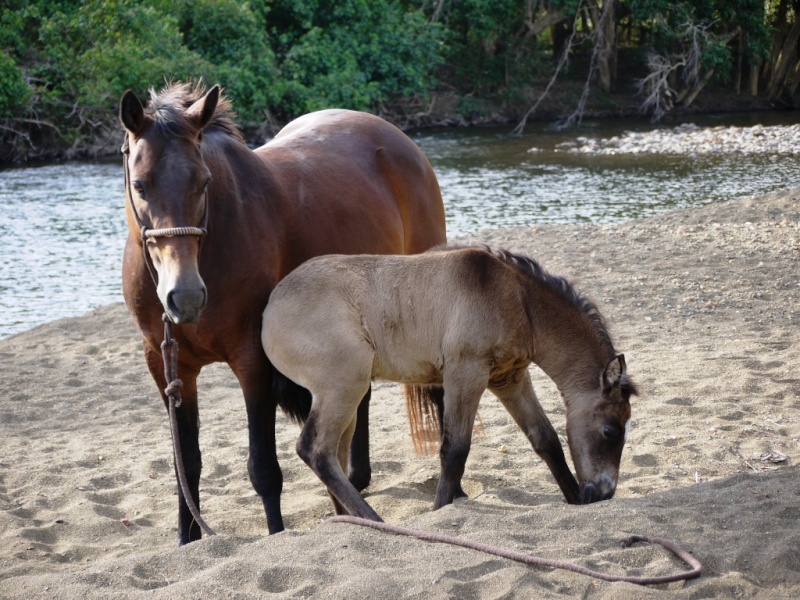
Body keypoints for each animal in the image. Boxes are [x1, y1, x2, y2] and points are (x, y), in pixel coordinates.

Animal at [119, 81, 446, 544]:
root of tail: (397, 138)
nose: (185, 296)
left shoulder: (251, 360)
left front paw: (275, 534)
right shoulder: (168, 367)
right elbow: (187, 465)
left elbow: (263, 468)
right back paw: (355, 481)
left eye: (204, 182)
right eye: (141, 184)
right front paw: (188, 540)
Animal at [262, 244, 636, 520]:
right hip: (345, 385)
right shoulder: (465, 373)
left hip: (347, 396)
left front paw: (573, 499)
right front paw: (441, 509)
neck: (513, 298)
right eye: (610, 430)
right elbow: (454, 449)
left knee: (334, 453)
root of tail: (269, 310)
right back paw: (374, 519)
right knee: (316, 449)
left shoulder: (510, 379)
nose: (604, 494)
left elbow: (545, 439)